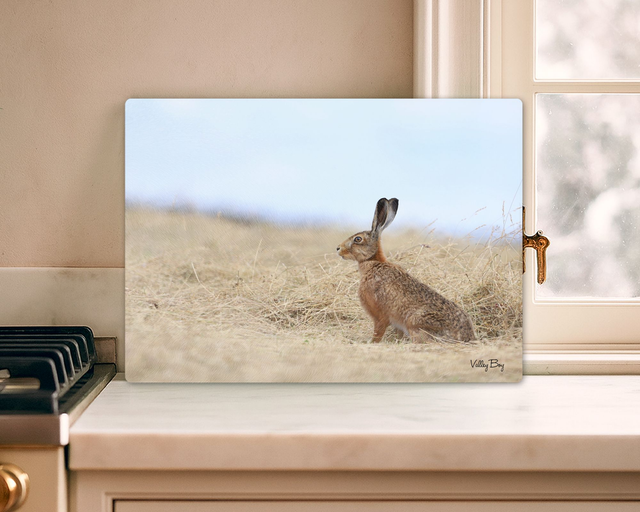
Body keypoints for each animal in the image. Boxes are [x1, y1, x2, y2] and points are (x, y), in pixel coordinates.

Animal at [337, 198, 476, 343]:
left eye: (358, 239)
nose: (338, 248)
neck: (373, 261)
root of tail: (467, 336)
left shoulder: (380, 315)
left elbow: (378, 330)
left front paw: (371, 343)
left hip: (415, 321)